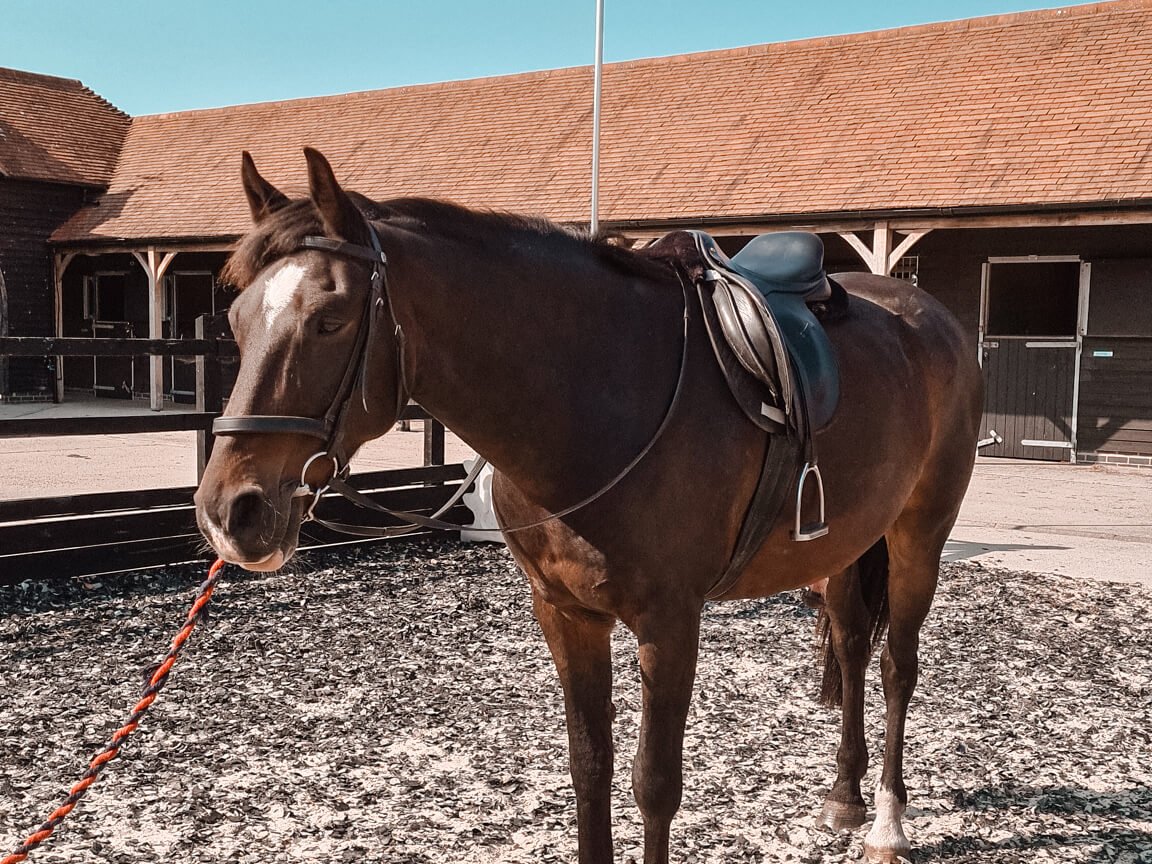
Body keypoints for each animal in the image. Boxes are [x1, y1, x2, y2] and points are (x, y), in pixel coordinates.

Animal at [194, 147, 982, 864]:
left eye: (330, 317)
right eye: (233, 318)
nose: (230, 512)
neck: (601, 397)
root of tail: (927, 314)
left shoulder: (669, 621)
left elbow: (654, 783)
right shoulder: (566, 612)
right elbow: (589, 765)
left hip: (919, 535)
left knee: (897, 666)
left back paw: (888, 822)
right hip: (851, 539)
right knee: (850, 646)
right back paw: (845, 798)